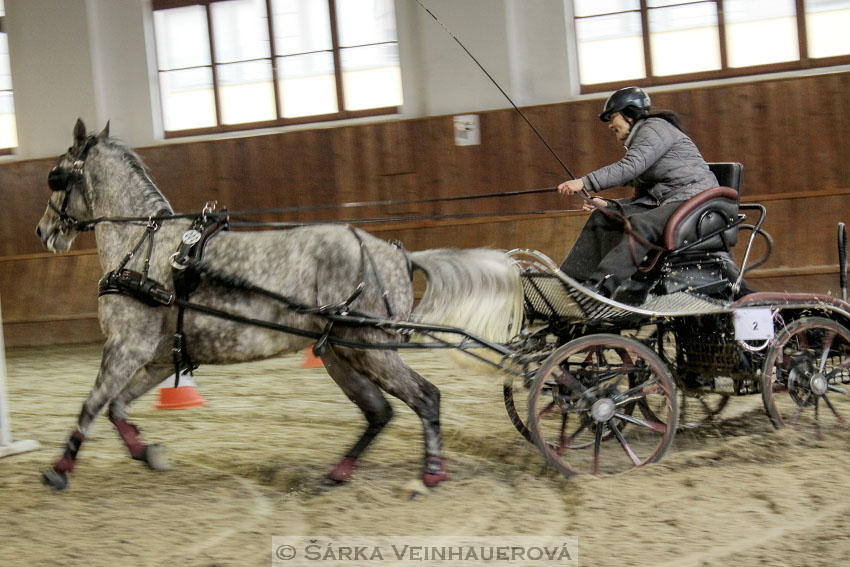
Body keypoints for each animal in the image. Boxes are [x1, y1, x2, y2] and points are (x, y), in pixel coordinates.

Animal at [36, 121, 520, 492]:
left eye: (56, 176)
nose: (44, 231)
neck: (143, 244)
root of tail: (398, 254)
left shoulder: (126, 346)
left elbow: (91, 405)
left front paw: (60, 470)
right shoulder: (155, 357)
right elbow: (116, 406)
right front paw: (146, 452)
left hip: (366, 347)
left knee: (425, 397)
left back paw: (430, 473)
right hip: (339, 351)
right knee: (379, 412)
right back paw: (337, 473)